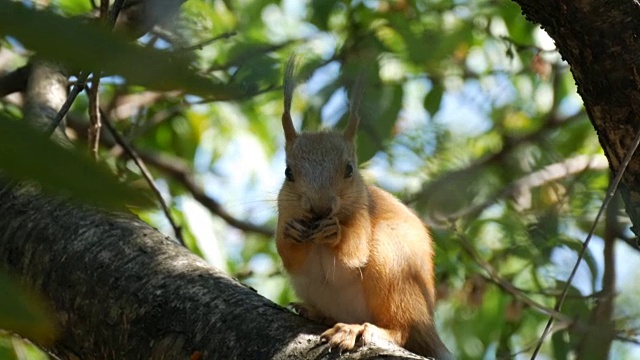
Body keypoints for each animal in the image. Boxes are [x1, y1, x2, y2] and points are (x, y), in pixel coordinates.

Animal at [276, 59, 450, 360]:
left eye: (349, 169)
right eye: (288, 173)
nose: (320, 208)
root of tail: (427, 325)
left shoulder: (363, 215)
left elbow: (353, 252)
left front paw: (334, 233)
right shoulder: (283, 209)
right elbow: (288, 255)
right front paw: (291, 232)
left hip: (392, 267)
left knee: (401, 330)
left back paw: (356, 329)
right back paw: (316, 312)